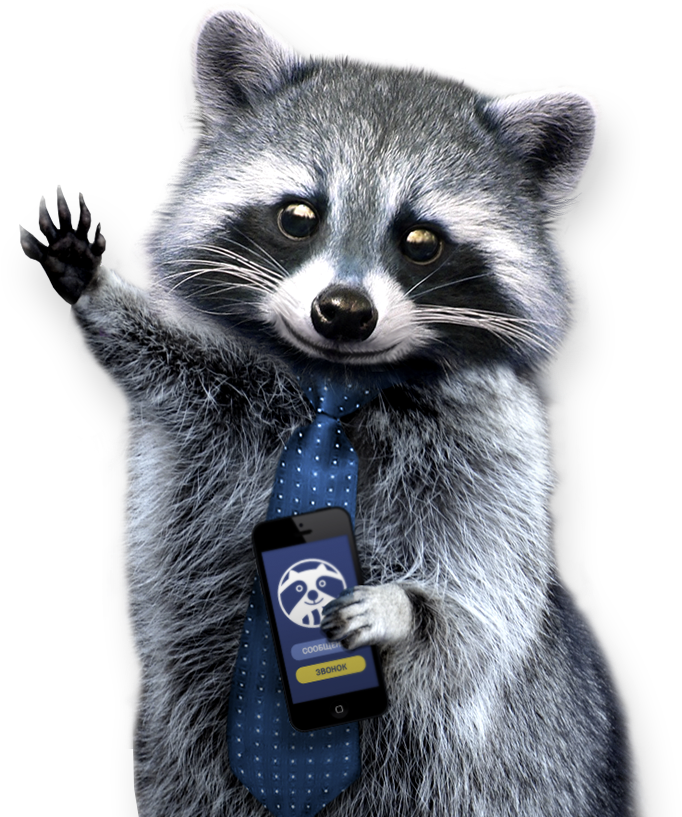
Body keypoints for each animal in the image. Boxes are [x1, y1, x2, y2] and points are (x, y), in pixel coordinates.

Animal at [19, 4, 648, 816]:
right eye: (298, 216)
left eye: (420, 240)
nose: (343, 312)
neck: (339, 386)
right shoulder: (222, 402)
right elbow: (178, 364)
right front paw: (98, 290)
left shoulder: (495, 449)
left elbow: (483, 607)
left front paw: (403, 610)